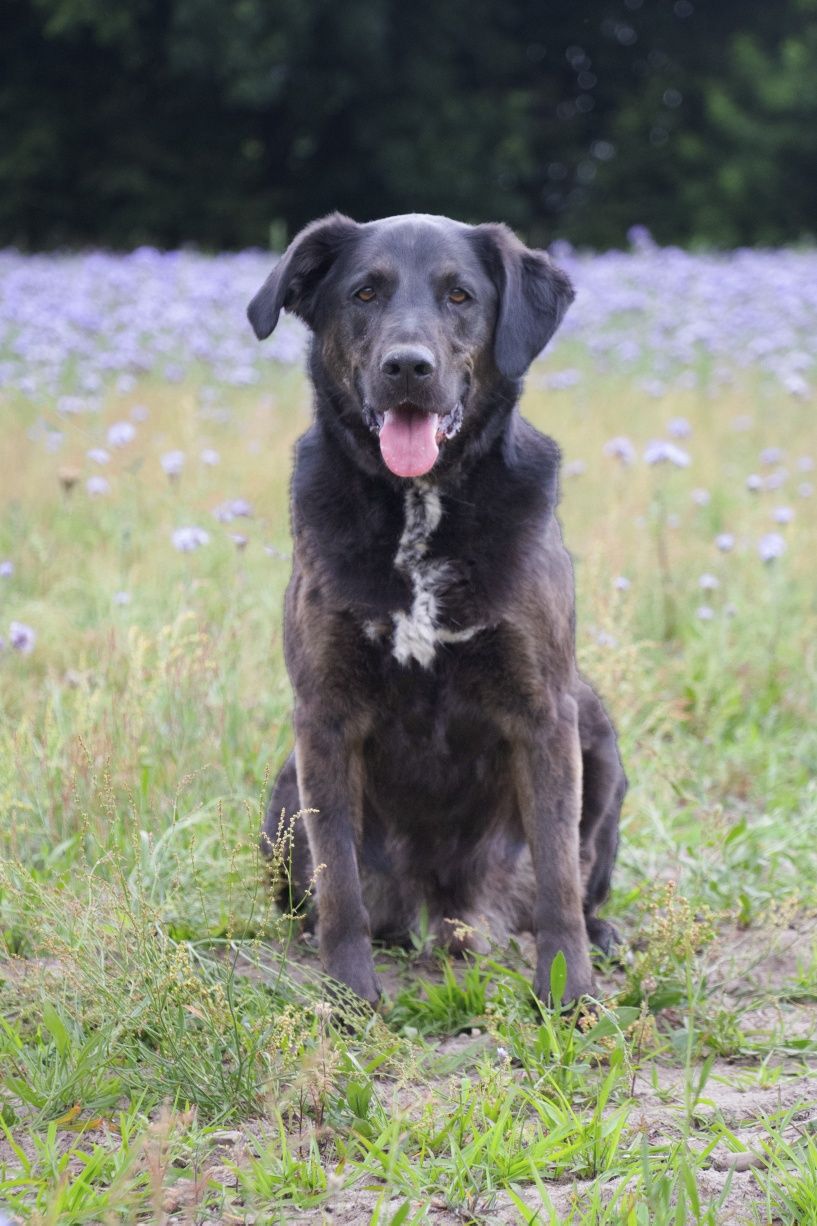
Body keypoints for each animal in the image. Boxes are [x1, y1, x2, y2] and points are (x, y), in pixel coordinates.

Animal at [247, 210, 623, 1005]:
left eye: (459, 295)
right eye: (364, 292)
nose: (407, 367)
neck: (420, 510)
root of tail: (449, 914)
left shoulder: (543, 709)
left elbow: (557, 877)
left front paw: (568, 996)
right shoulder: (323, 717)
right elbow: (340, 884)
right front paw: (349, 997)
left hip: (598, 731)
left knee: (576, 883)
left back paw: (602, 936)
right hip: (285, 793)